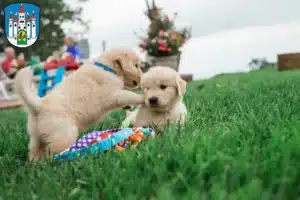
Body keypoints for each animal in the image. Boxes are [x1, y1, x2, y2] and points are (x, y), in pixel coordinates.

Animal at [14, 48, 145, 161]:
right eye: (136, 65)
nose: (142, 78)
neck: (108, 69)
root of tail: (39, 106)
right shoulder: (114, 94)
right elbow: (129, 94)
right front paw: (144, 98)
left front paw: (129, 106)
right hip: (65, 134)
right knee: (55, 154)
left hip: (36, 137)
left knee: (35, 152)